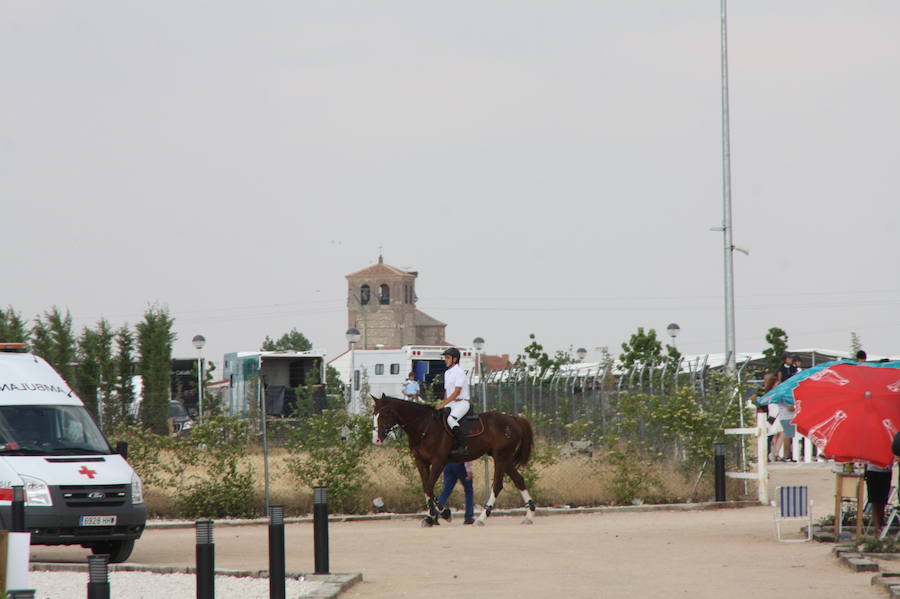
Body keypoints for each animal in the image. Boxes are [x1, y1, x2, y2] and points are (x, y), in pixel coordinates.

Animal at [370, 396, 536, 528]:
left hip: (501, 457)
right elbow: (426, 488)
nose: (376, 439)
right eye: (374, 414)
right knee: (519, 480)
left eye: (384, 414)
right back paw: (529, 515)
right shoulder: (421, 462)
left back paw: (481, 518)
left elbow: (429, 487)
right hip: (504, 458)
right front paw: (430, 517)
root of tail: (513, 419)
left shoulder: (438, 461)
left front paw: (444, 513)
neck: (424, 426)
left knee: (497, 485)